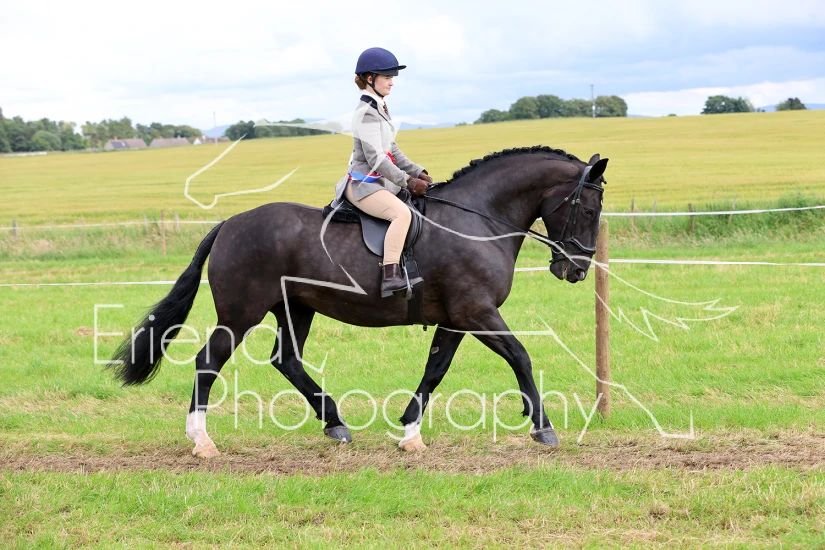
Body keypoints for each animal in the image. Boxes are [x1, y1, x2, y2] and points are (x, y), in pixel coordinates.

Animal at [108, 145, 608, 457]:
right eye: (588, 208)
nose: (577, 269)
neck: (478, 221)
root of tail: (229, 223)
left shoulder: (456, 319)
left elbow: (436, 369)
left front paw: (410, 433)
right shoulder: (477, 312)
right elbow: (521, 356)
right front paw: (543, 427)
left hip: (296, 308)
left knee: (286, 359)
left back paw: (334, 422)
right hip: (241, 313)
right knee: (208, 362)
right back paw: (202, 441)